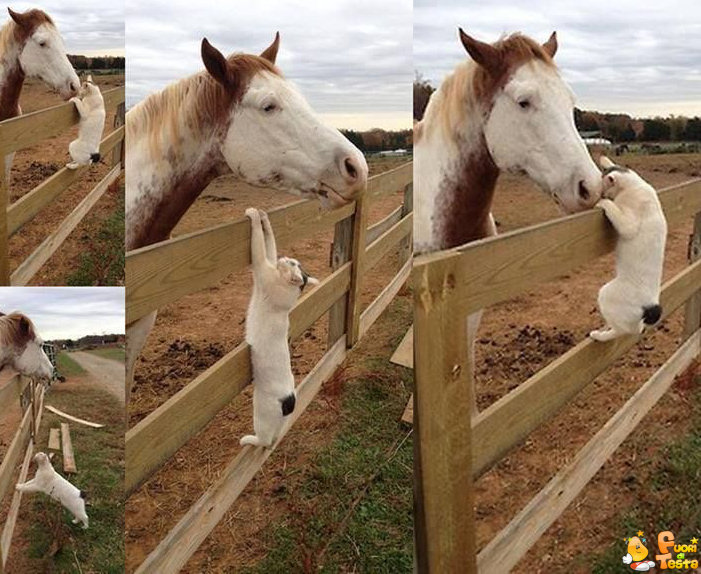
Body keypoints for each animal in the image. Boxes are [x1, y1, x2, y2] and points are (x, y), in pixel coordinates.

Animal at [239, 208, 318, 450]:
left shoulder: (262, 267)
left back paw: (248, 440)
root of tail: (290, 401)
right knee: (273, 439)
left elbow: (258, 244)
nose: (285, 258)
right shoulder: (268, 264)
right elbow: (269, 242)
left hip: (260, 411)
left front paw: (254, 216)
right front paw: (264, 217)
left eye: (291, 263)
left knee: (265, 441)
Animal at [584, 158, 668, 342]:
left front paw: (603, 203)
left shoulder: (629, 224)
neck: (635, 184)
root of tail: (651, 305)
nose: (601, 196)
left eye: (603, 190)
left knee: (623, 330)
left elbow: (613, 208)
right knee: (636, 329)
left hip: (606, 293)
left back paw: (600, 335)